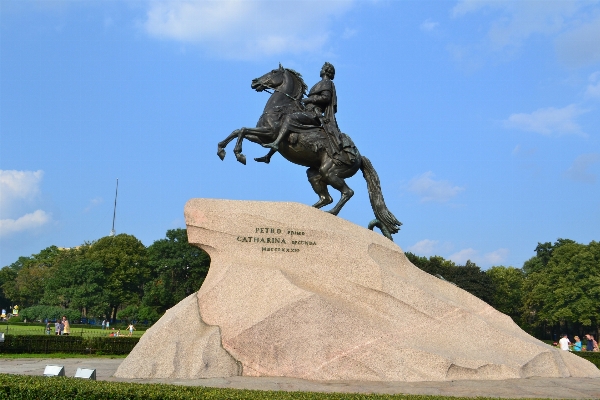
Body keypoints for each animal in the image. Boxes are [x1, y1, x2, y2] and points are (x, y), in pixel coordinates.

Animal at [217, 64, 404, 239]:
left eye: (273, 72)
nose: (254, 82)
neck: (280, 107)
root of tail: (359, 157)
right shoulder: (261, 136)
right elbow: (238, 131)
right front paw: (223, 150)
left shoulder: (269, 133)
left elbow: (242, 130)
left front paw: (239, 154)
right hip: (315, 174)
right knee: (326, 197)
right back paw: (310, 211)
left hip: (330, 172)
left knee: (347, 192)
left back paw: (331, 213)